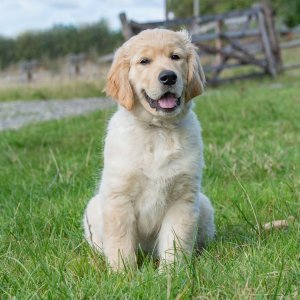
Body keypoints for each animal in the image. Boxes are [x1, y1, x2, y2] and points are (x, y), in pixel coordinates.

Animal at [83, 28, 214, 270]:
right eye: (144, 61)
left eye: (175, 57)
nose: (168, 77)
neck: (158, 130)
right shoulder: (119, 198)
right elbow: (120, 242)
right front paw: (123, 274)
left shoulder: (182, 198)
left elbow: (175, 241)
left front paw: (172, 273)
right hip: (93, 207)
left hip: (204, 204)